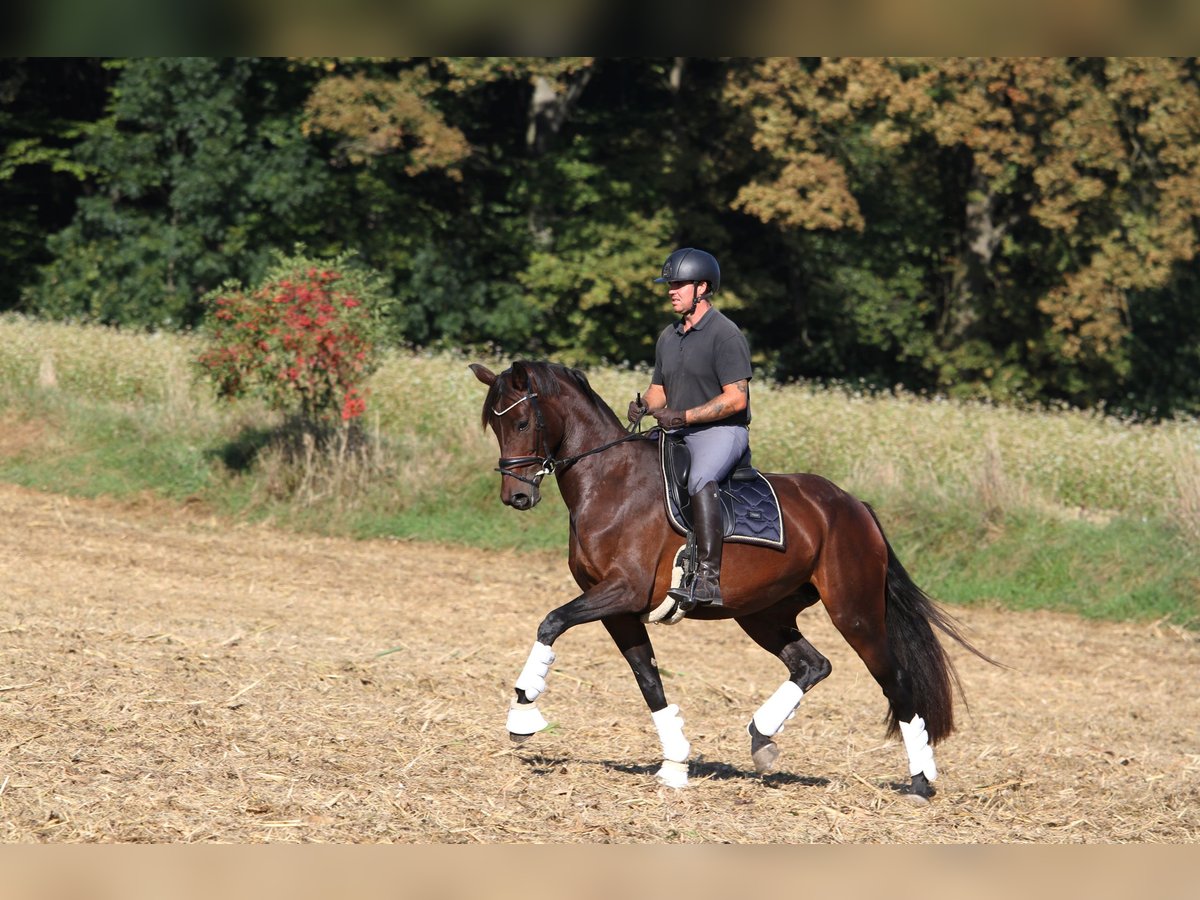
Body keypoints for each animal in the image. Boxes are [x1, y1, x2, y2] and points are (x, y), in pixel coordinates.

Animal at [468, 362, 993, 801]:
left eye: (521, 423)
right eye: (494, 425)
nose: (515, 496)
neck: (609, 481)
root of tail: (853, 506)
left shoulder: (623, 591)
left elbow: (551, 622)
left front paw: (523, 712)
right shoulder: (618, 609)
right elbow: (648, 681)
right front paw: (675, 764)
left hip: (855, 613)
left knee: (896, 683)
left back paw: (921, 782)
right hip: (763, 614)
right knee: (812, 665)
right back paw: (762, 738)